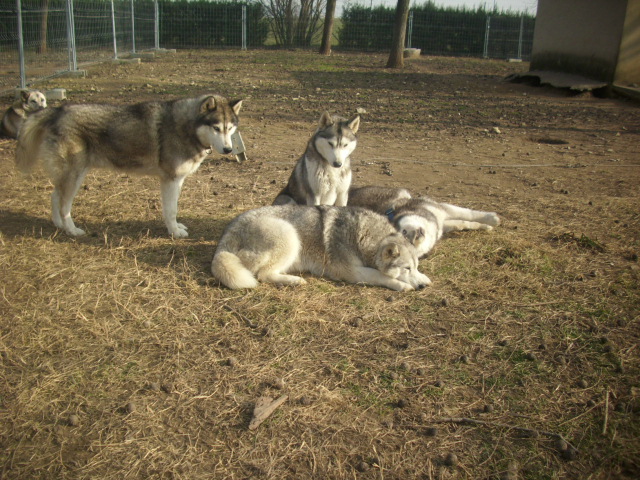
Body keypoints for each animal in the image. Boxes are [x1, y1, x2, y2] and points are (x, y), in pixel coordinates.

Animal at [17, 94, 244, 236]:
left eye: (230, 128)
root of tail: (57, 111)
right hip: (75, 176)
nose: (228, 150)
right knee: (64, 204)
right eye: (216, 128)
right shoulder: (170, 180)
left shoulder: (177, 181)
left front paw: (175, 227)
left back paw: (59, 225)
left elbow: (173, 209)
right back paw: (72, 230)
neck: (187, 128)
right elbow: (170, 210)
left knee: (54, 195)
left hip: (72, 175)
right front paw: (174, 232)